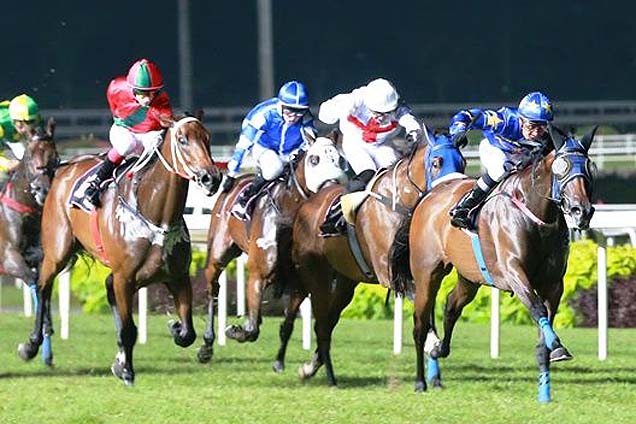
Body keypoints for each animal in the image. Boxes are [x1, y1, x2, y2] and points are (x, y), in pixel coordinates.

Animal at [18, 115, 222, 384]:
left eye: (208, 138)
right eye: (182, 139)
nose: (212, 177)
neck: (156, 216)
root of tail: (65, 167)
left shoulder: (177, 276)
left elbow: (188, 332)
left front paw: (174, 329)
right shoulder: (125, 278)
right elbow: (128, 329)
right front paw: (126, 370)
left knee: (105, 287)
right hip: (57, 250)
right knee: (43, 287)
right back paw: (31, 345)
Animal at [388, 126, 596, 400]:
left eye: (589, 167)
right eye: (561, 167)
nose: (581, 211)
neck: (536, 214)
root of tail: (427, 195)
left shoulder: (553, 285)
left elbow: (544, 333)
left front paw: (545, 391)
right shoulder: (514, 273)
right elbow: (537, 309)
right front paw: (558, 347)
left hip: (469, 278)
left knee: (451, 305)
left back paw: (440, 349)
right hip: (426, 274)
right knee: (420, 326)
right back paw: (421, 381)